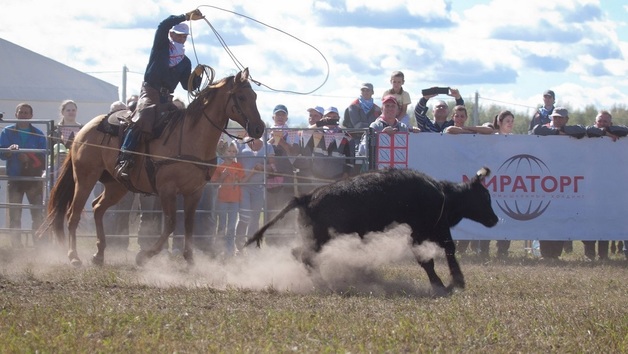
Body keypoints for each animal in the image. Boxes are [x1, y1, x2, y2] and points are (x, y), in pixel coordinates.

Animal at [39, 68, 264, 266]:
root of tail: (84, 130)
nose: (259, 128)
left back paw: (99, 254)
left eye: (254, 95)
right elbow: (171, 224)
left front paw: (189, 259)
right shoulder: (167, 190)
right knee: (73, 214)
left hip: (116, 185)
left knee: (97, 208)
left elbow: (188, 224)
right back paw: (74, 257)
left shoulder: (194, 191)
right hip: (85, 178)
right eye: (242, 97)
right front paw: (144, 256)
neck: (190, 137)